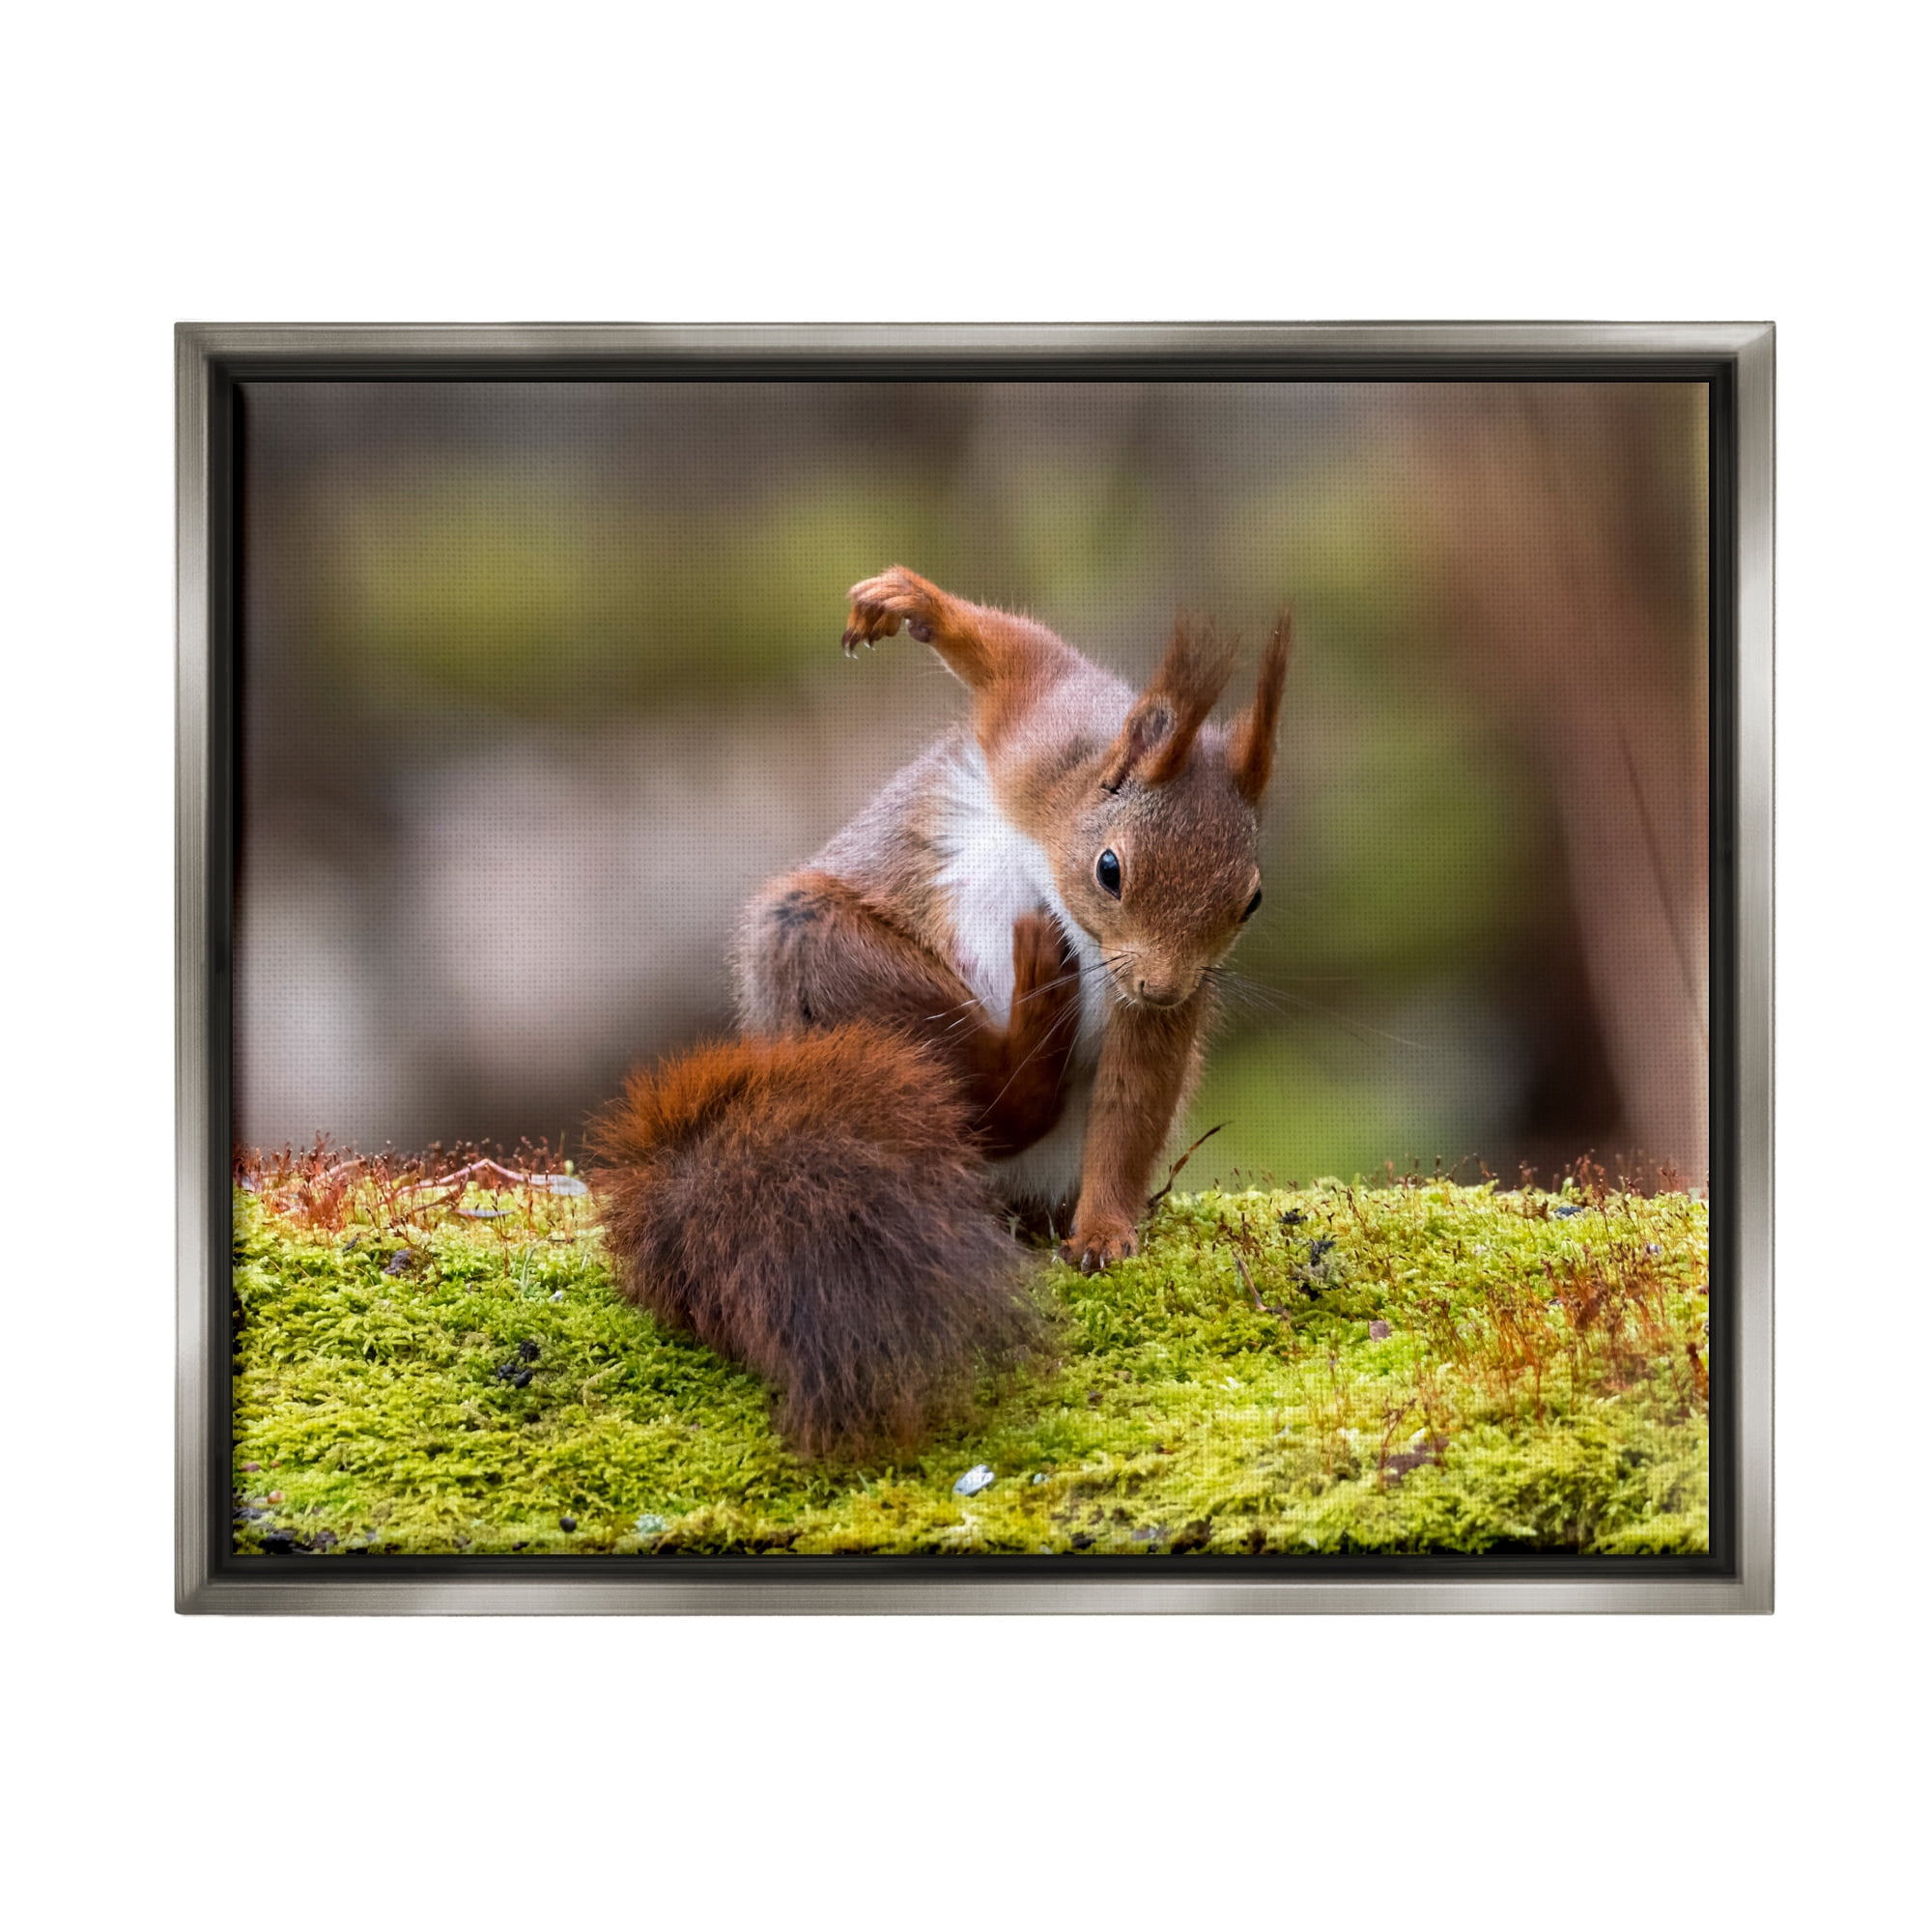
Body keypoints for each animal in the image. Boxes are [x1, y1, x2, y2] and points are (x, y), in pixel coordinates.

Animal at [590, 566, 1290, 1459]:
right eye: (1110, 869)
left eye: (1251, 901)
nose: (1163, 988)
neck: (1058, 844)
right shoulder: (1040, 727)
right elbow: (1014, 651)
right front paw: (909, 603)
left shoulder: (1154, 1008)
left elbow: (1132, 1106)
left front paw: (1103, 1231)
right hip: (819, 947)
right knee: (989, 1099)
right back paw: (1033, 1020)